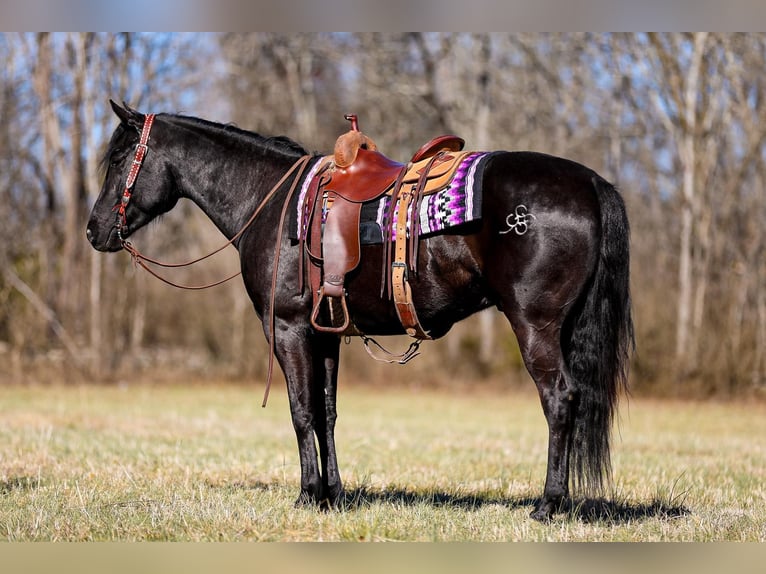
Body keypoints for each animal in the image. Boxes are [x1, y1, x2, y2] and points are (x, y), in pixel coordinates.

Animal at [87, 102, 632, 520]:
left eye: (119, 157)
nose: (94, 231)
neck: (269, 199)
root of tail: (590, 183)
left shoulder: (287, 329)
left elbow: (301, 411)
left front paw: (308, 495)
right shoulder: (326, 332)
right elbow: (327, 413)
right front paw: (334, 495)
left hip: (535, 324)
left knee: (560, 399)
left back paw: (548, 504)